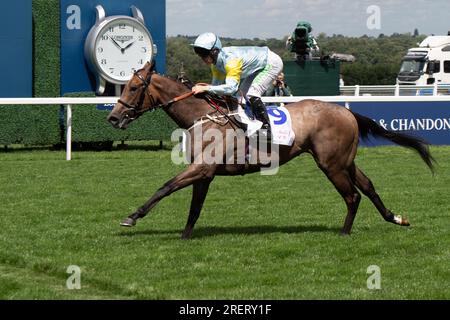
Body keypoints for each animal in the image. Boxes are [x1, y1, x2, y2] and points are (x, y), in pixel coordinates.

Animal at [107, 62, 434, 238]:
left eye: (133, 88)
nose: (113, 117)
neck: (203, 116)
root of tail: (347, 112)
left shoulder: (201, 168)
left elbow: (165, 187)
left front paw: (132, 216)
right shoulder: (204, 173)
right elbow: (194, 207)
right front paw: (185, 236)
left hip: (331, 164)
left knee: (353, 196)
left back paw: (344, 232)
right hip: (344, 161)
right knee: (368, 186)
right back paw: (395, 217)